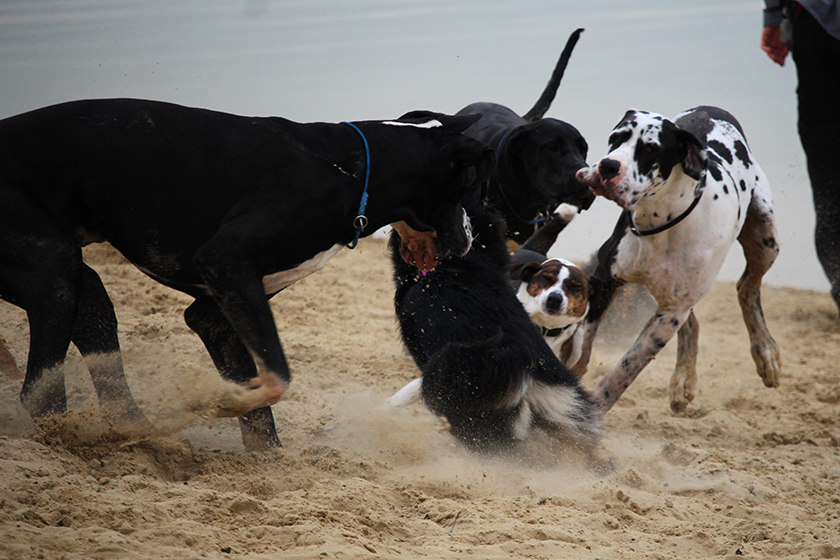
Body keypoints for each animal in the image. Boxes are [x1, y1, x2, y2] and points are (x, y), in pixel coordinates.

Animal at [0, 98, 494, 449]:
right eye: (469, 186)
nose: (471, 238)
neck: (353, 170)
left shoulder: (218, 310)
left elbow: (261, 410)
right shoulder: (226, 262)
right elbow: (276, 379)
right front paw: (215, 401)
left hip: (75, 284)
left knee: (95, 318)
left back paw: (142, 435)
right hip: (53, 268)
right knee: (39, 392)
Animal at [574, 106, 781, 414]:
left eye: (650, 148)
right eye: (616, 137)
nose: (608, 166)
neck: (659, 220)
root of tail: (712, 108)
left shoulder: (671, 312)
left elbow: (625, 370)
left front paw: (595, 407)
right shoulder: (606, 276)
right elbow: (581, 342)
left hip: (765, 240)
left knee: (747, 288)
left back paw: (765, 351)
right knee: (694, 321)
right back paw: (684, 378)